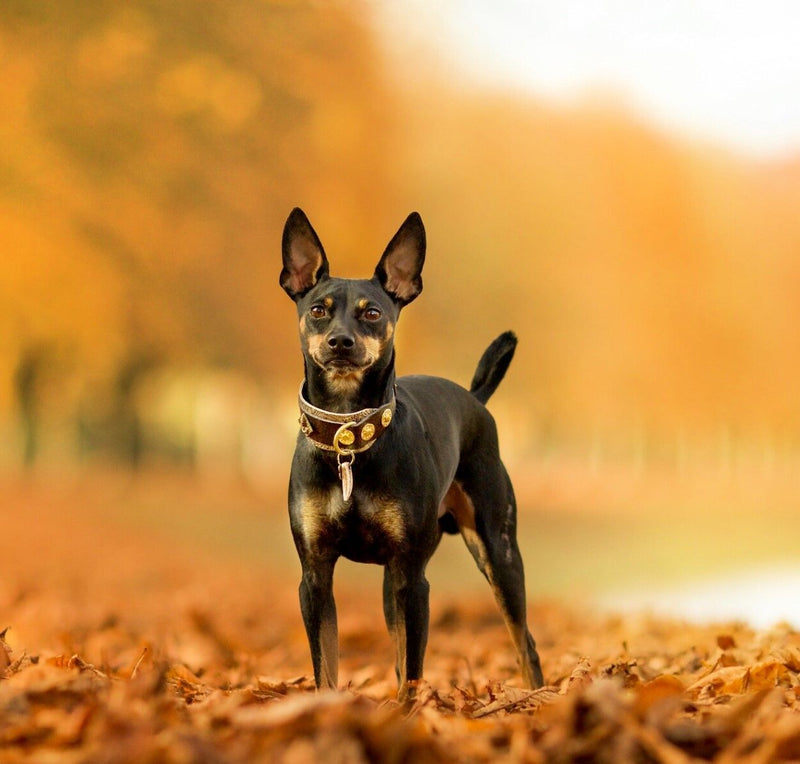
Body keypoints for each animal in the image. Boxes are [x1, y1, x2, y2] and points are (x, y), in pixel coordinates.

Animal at [278, 207, 548, 700]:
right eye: (318, 310)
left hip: (497, 553)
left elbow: (414, 670)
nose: (341, 342)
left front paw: (408, 712)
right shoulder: (316, 577)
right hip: (393, 585)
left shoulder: (412, 578)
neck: (350, 438)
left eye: (372, 313)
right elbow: (327, 667)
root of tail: (476, 399)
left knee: (525, 641)